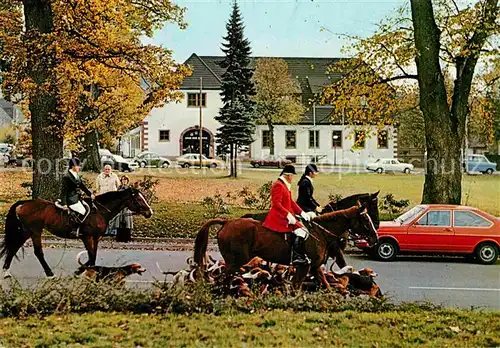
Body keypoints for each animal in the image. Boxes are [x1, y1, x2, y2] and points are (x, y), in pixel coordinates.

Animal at [0, 186, 152, 278]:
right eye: (139, 199)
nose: (149, 212)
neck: (99, 211)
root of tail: (24, 203)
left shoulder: (96, 237)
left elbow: (93, 255)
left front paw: (85, 271)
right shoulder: (87, 237)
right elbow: (91, 256)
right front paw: (83, 271)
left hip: (26, 232)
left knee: (14, 248)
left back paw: (6, 271)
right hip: (35, 231)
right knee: (38, 252)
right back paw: (49, 273)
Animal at [193, 203, 376, 290]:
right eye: (366, 220)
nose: (375, 238)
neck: (320, 232)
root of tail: (227, 222)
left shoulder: (311, 267)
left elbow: (321, 284)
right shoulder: (308, 266)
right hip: (234, 262)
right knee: (221, 278)